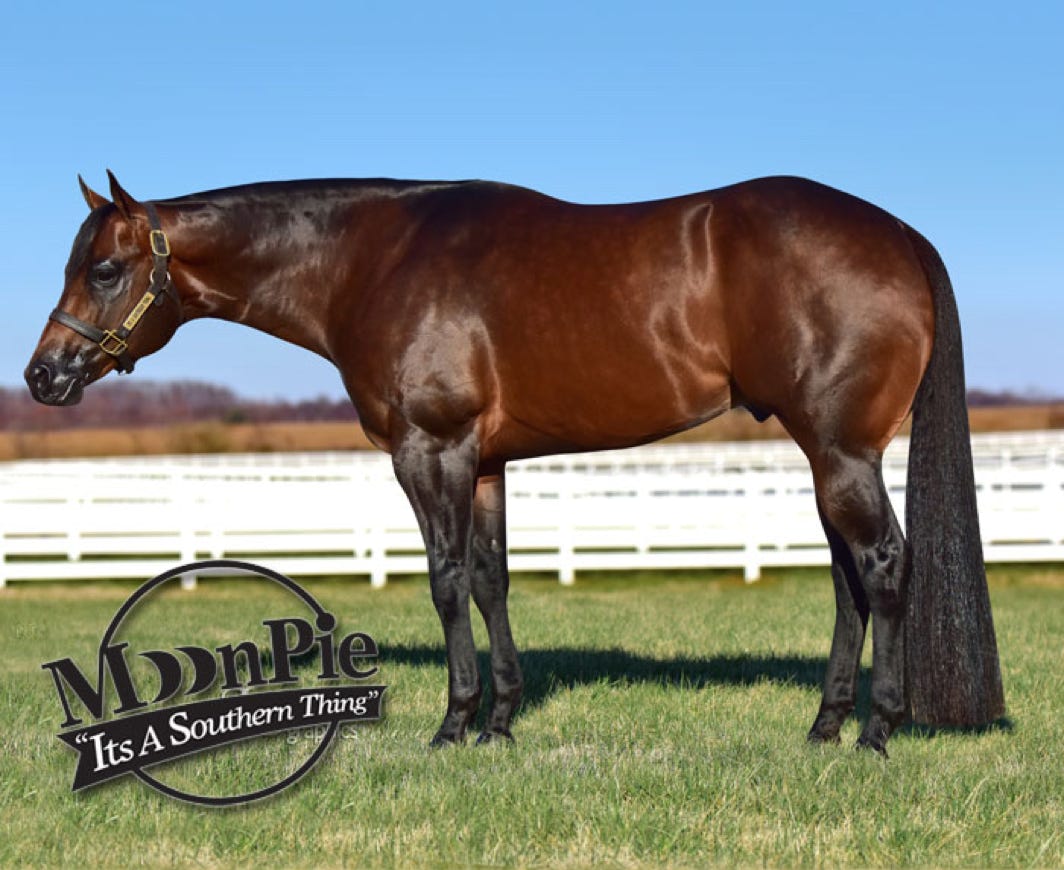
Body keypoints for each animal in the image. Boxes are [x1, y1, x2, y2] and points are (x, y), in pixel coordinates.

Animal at [25, 171, 1005, 755]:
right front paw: (499, 720)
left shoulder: (431, 450)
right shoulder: (488, 463)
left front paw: (452, 724)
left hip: (840, 451)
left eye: (105, 269)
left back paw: (878, 731)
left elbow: (447, 580)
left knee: (882, 565)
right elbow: (493, 580)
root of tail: (898, 234)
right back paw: (825, 727)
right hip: (827, 455)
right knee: (847, 579)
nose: (43, 376)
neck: (371, 261)